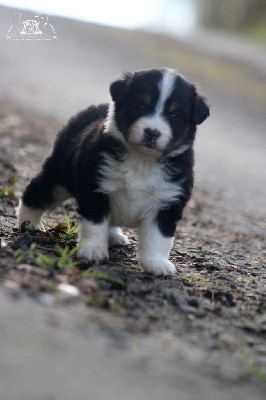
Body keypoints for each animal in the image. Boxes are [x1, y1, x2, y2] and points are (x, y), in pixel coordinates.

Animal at [16, 68, 210, 276]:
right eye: (140, 105)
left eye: (174, 115)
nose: (152, 132)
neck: (142, 160)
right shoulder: (96, 187)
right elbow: (95, 224)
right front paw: (93, 250)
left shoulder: (168, 202)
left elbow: (158, 238)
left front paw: (156, 264)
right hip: (60, 177)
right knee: (37, 191)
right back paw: (28, 222)